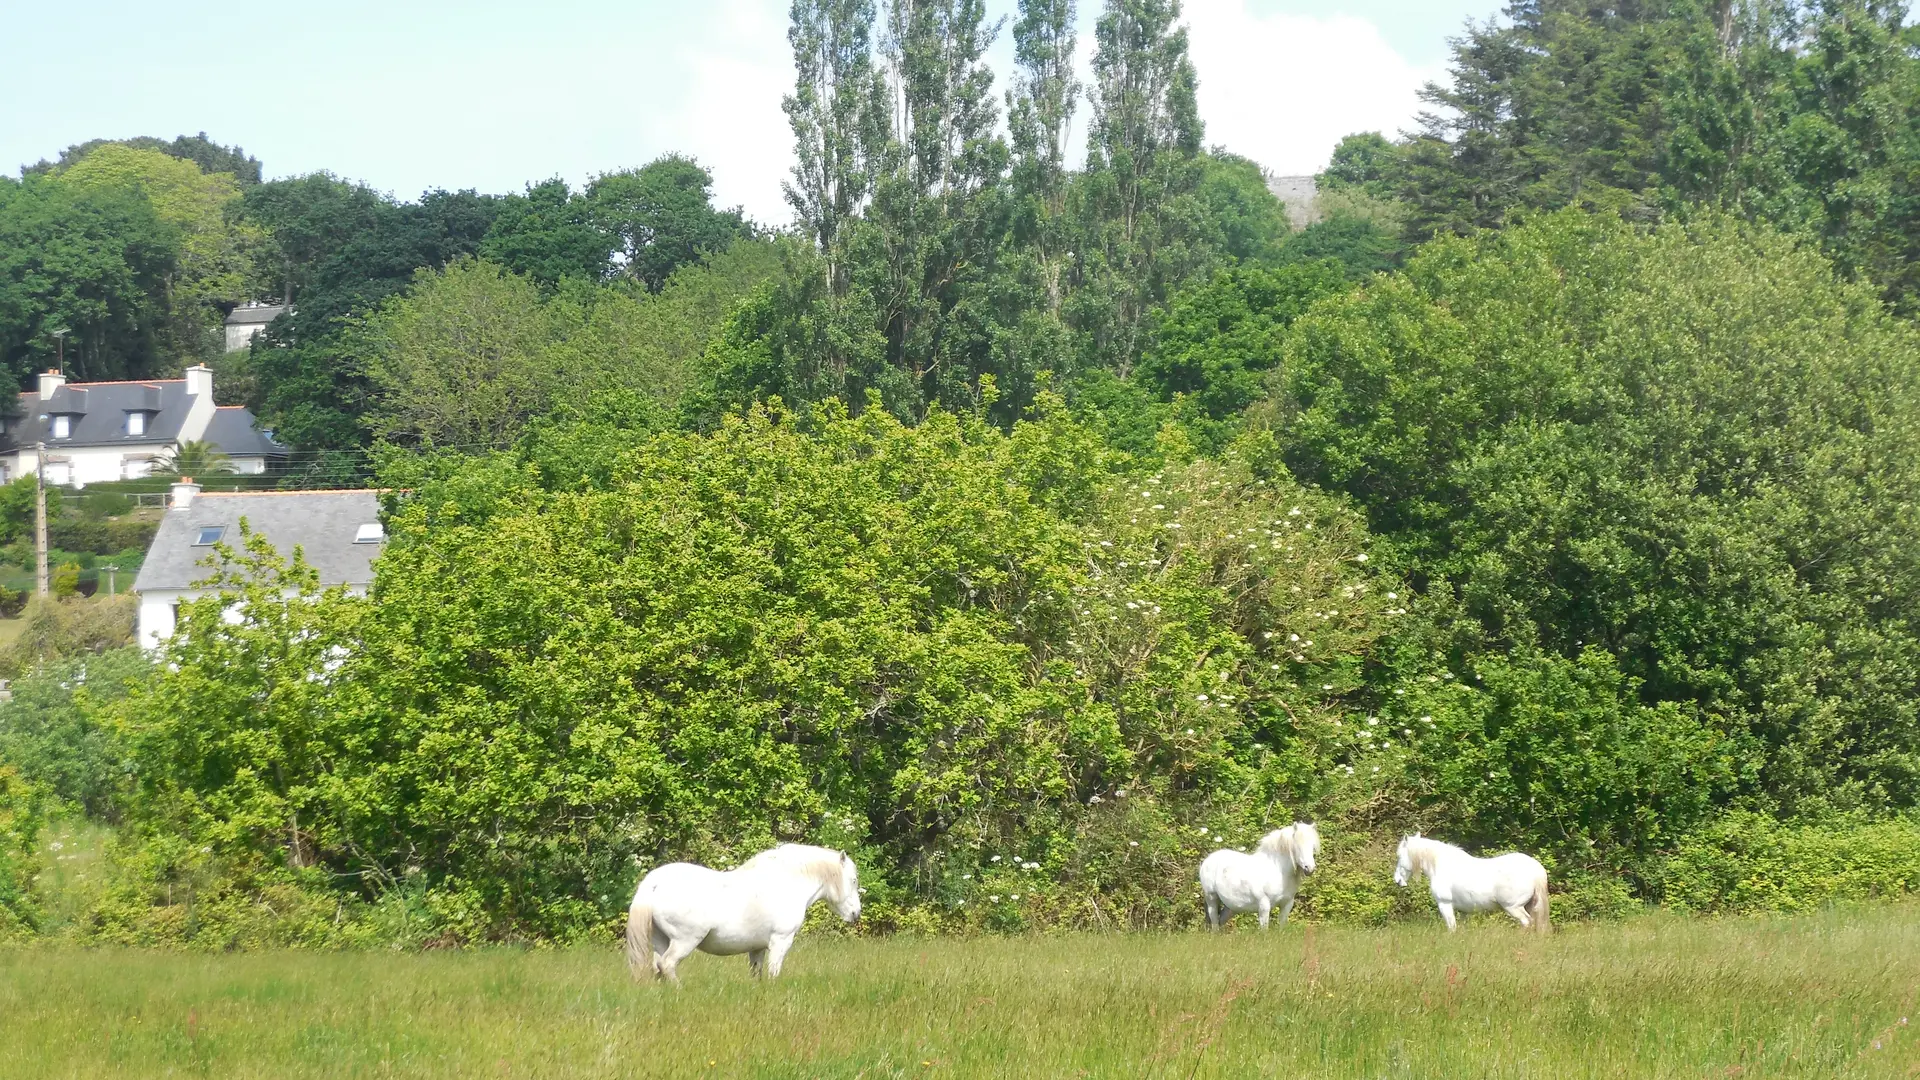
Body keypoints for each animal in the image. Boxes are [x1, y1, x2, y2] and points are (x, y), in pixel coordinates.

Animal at [625, 843, 861, 984]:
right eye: (853, 880)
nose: (856, 913)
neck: (787, 882)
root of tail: (654, 882)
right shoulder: (781, 940)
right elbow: (774, 972)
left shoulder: (757, 948)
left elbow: (757, 974)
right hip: (685, 940)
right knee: (667, 964)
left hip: (660, 940)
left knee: (657, 967)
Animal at [1392, 834, 1550, 933]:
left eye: (1399, 856)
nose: (1397, 880)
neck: (1442, 866)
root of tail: (1536, 869)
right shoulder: (1465, 912)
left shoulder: (1445, 905)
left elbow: (1452, 928)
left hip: (1513, 907)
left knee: (1526, 922)